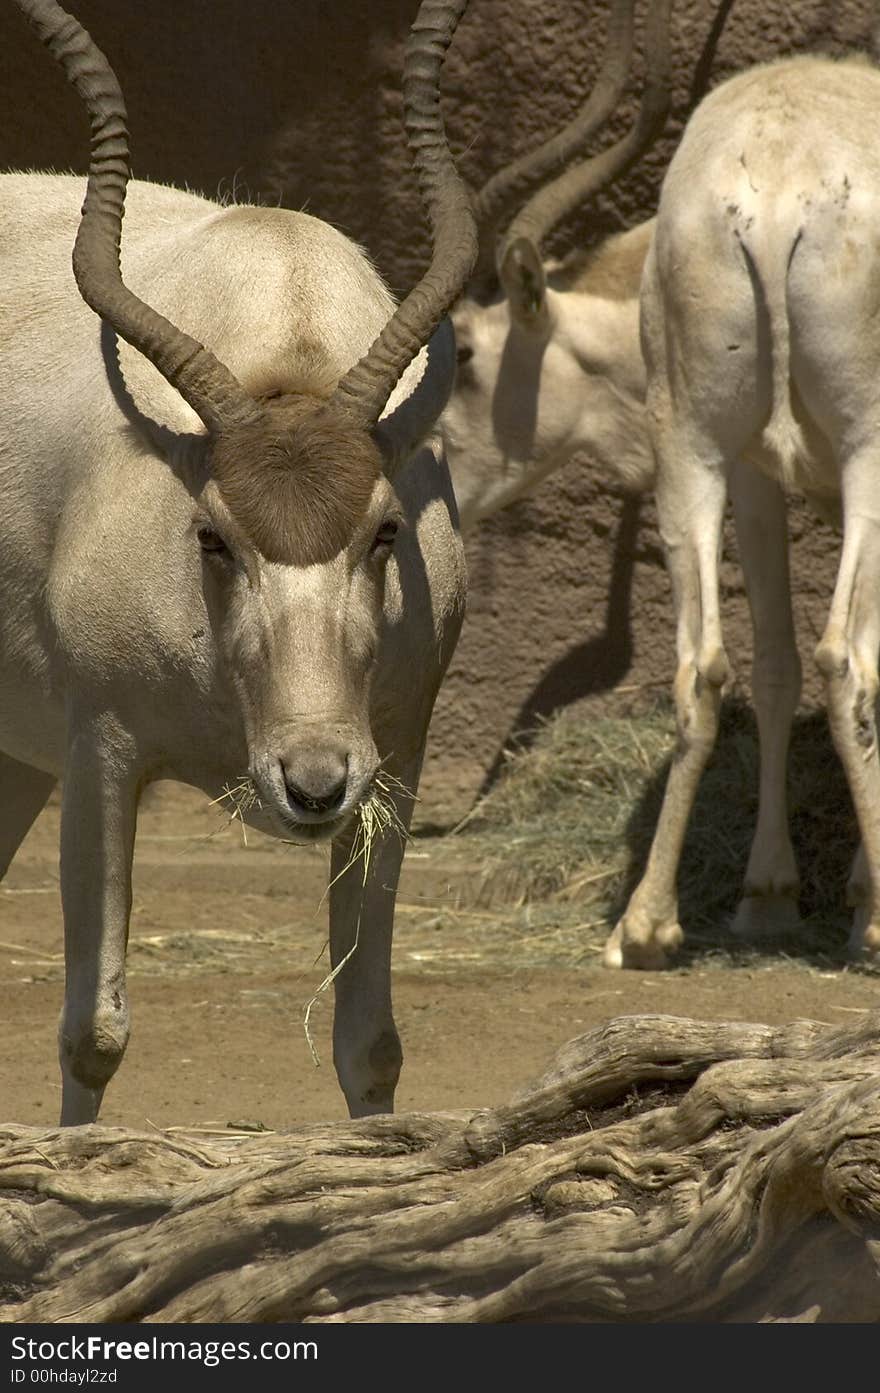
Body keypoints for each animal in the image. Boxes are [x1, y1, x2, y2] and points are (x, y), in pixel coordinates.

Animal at [1, 0, 481, 1125]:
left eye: (384, 530)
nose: (309, 781)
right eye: (212, 535)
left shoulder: (395, 758)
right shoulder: (99, 752)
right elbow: (92, 1033)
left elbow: (371, 1043)